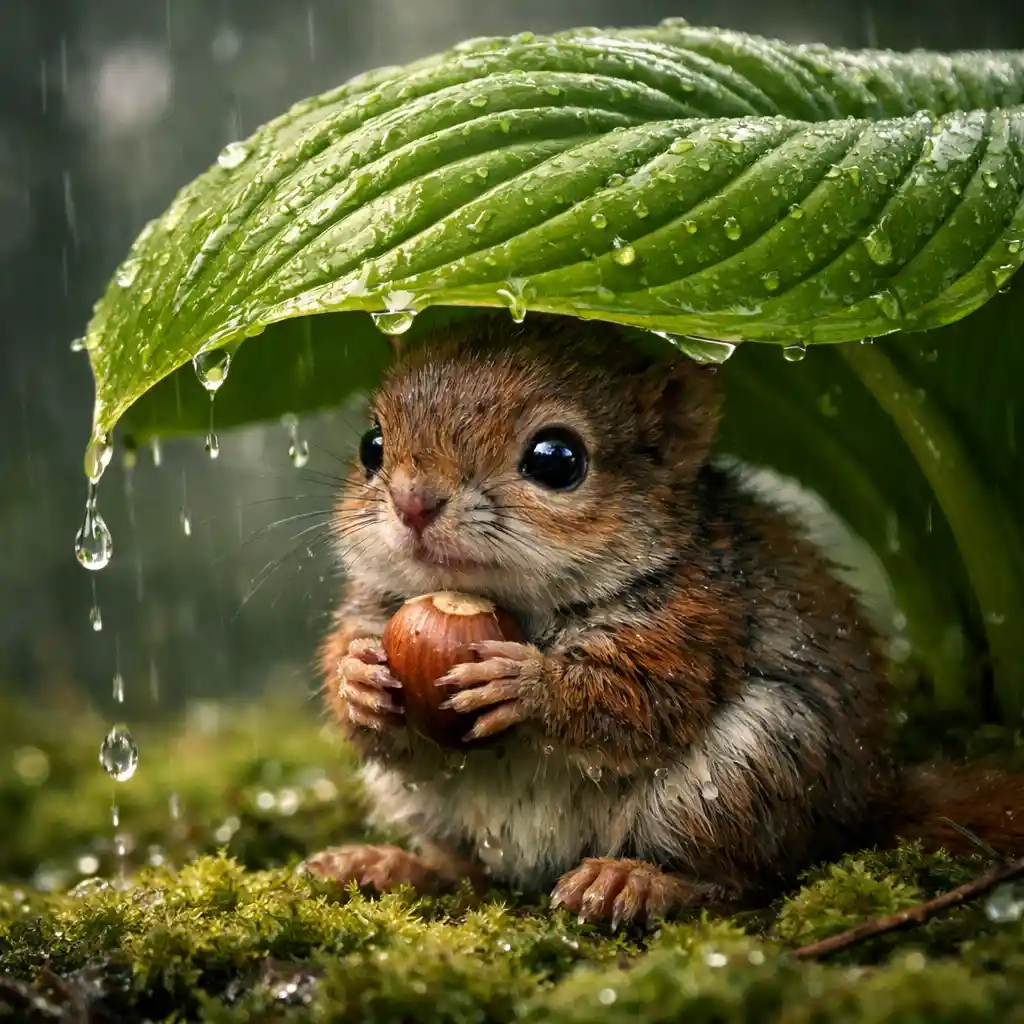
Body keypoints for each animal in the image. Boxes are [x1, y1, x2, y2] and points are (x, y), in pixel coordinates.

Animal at [305, 312, 1024, 928]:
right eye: (372, 445)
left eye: (557, 459)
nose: (412, 503)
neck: (514, 606)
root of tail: (871, 797)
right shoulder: (373, 605)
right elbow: (367, 709)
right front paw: (356, 678)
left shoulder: (699, 616)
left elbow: (643, 698)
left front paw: (529, 686)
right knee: (467, 870)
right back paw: (393, 865)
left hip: (745, 771)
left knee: (746, 878)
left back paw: (640, 881)